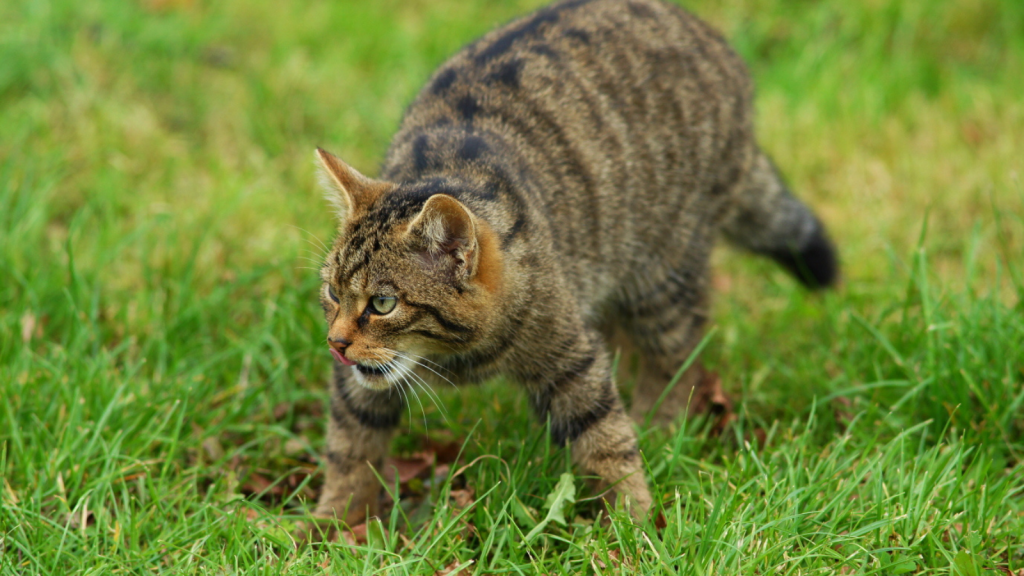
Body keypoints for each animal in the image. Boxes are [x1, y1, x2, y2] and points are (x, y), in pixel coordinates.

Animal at [307, 0, 835, 532]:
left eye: (383, 303)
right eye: (333, 292)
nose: (335, 343)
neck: (455, 356)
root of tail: (706, 34)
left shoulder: (572, 358)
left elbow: (606, 439)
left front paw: (634, 523)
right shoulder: (358, 387)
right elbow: (350, 446)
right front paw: (332, 525)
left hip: (660, 278)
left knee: (677, 356)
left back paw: (660, 425)